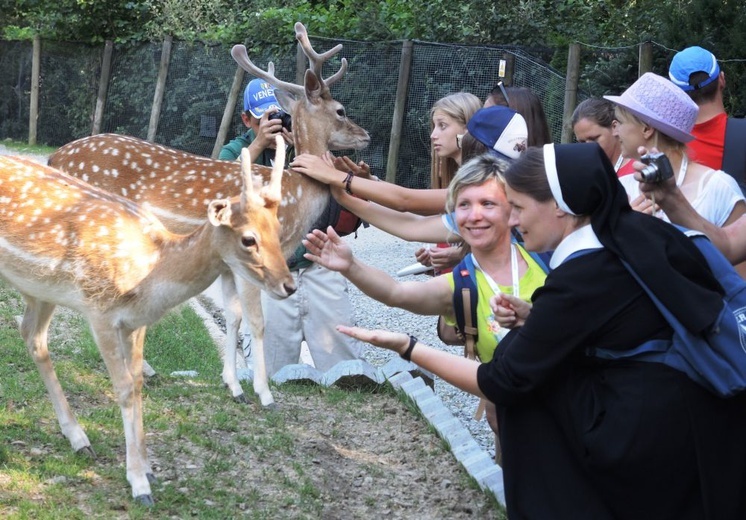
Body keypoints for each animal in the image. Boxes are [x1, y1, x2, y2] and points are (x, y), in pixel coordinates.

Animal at [1, 140, 294, 506]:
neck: (151, 272)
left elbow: (138, 382)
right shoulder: (100, 310)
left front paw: (149, 469)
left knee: (33, 336)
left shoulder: (135, 322)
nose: (289, 285)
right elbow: (125, 388)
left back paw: (78, 438)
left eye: (279, 231)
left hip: (40, 290)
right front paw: (139, 484)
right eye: (248, 239)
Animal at [47, 22, 370, 408]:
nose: (366, 136)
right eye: (340, 110)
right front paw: (264, 393)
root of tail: (53, 158)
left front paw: (233, 385)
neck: (297, 193)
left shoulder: (230, 261)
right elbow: (256, 321)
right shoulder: (255, 257)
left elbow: (232, 317)